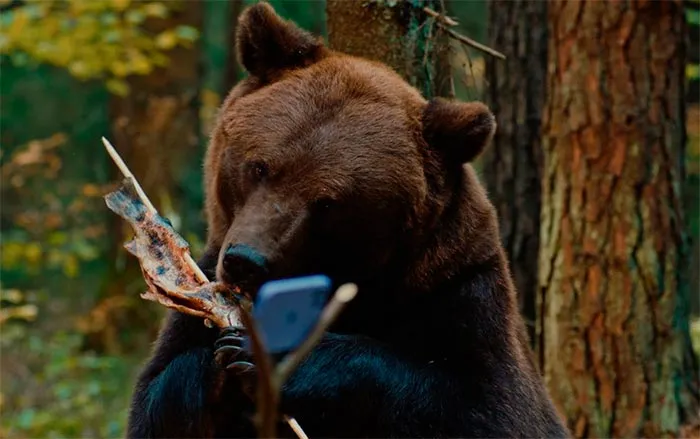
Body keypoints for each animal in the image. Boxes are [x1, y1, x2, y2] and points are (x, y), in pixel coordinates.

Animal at [126, 2, 570, 438]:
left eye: (327, 203)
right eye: (260, 167)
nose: (245, 262)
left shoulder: (461, 295)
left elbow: (484, 408)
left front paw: (275, 353)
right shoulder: (201, 280)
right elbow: (157, 399)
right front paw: (227, 362)